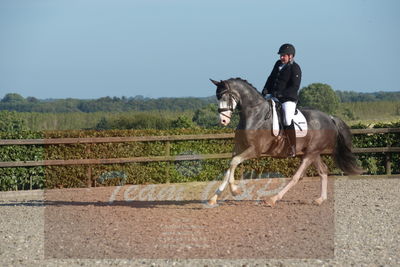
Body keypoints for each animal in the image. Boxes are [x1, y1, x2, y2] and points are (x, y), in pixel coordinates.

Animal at [209, 77, 362, 207]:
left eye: (225, 97)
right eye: (217, 97)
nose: (223, 121)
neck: (255, 114)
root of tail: (330, 118)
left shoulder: (255, 150)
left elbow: (234, 162)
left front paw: (235, 190)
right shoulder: (239, 148)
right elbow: (229, 167)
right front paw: (213, 199)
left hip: (310, 153)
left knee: (297, 176)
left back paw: (273, 199)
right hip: (313, 152)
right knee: (323, 170)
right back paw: (320, 199)